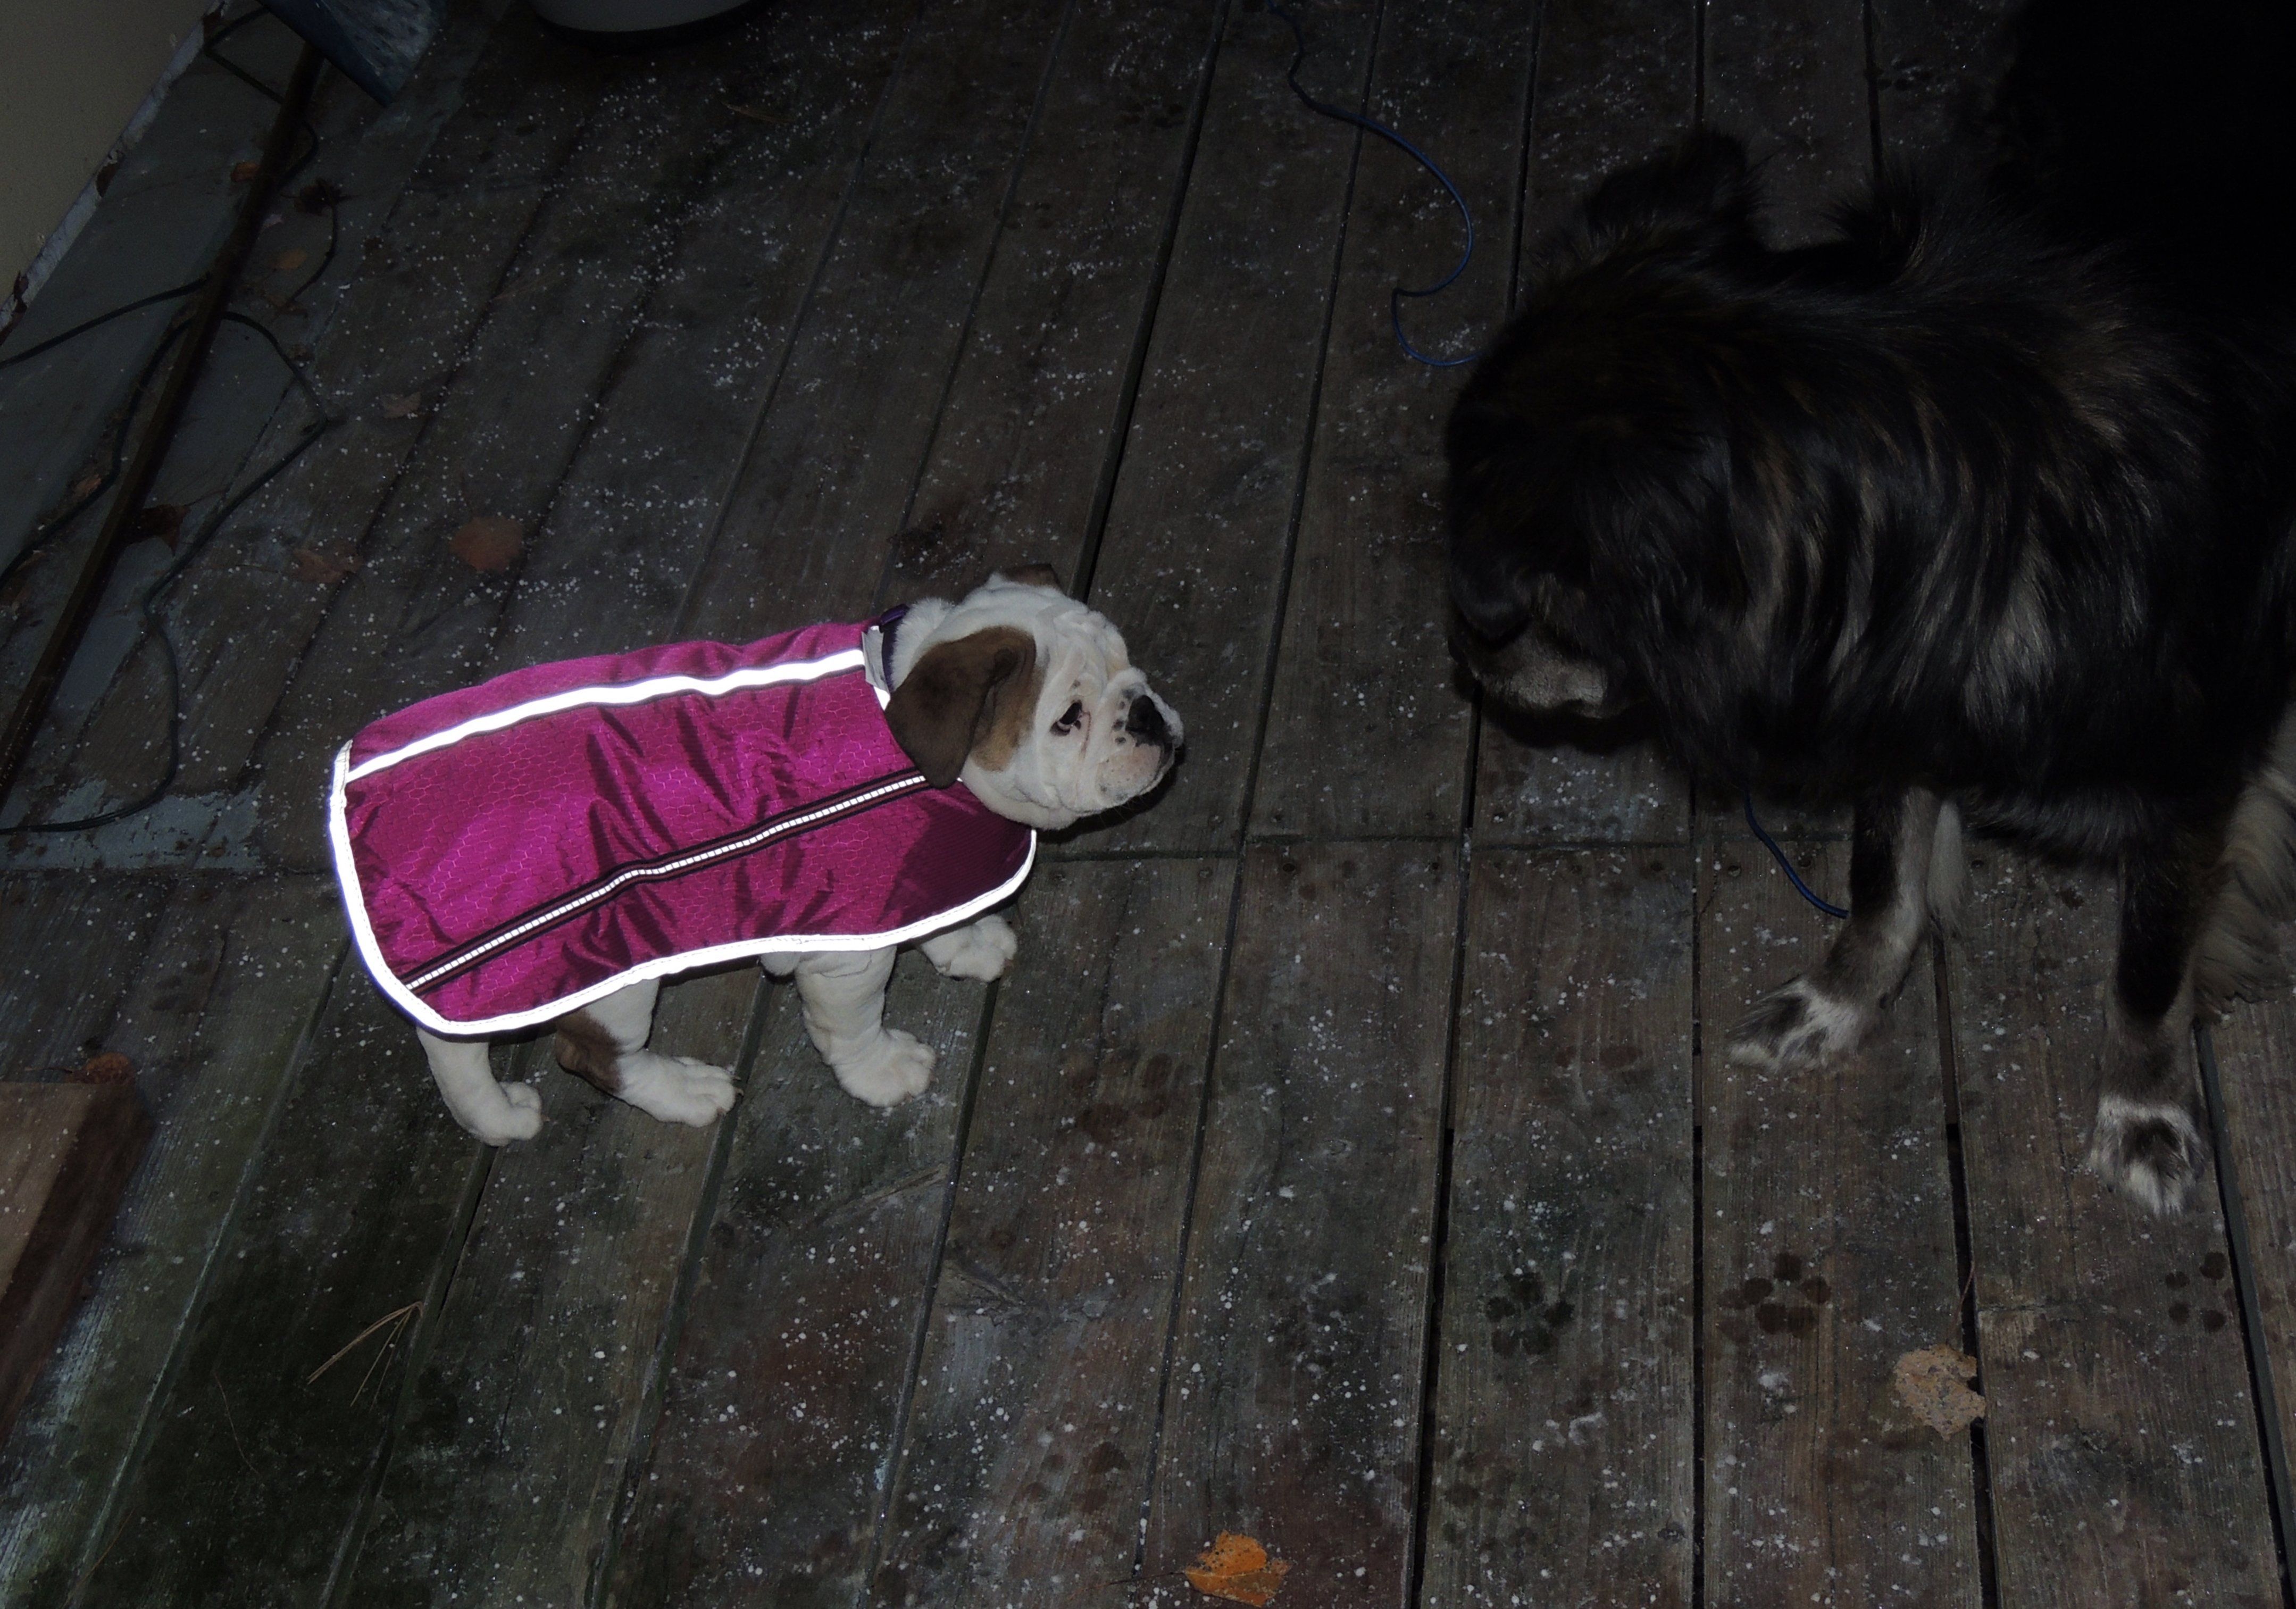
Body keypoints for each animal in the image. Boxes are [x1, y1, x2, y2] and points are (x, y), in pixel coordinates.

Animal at [329, 569, 1181, 1144]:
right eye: (1068, 718)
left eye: (1126, 657)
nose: (1145, 712)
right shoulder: (845, 952)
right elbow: (852, 1024)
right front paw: (882, 1074)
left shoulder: (913, 879)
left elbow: (942, 915)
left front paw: (968, 944)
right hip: (617, 972)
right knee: (589, 1055)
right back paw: (682, 1091)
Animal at [1443, 126, 2296, 1215]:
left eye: (1509, 608)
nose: (1467, 656)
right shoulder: (1902, 701)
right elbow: (1882, 883)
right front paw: (1836, 1002)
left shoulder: (2192, 784)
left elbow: (2146, 971)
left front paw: (2142, 1108)